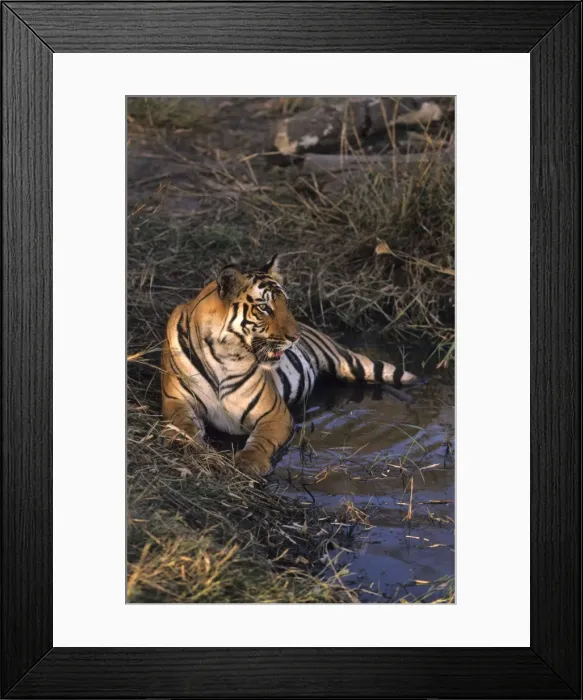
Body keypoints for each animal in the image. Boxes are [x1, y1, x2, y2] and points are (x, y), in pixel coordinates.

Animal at [161, 255, 417, 477]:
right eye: (264, 307)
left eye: (287, 304)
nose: (295, 337)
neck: (223, 355)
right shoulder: (176, 400)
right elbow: (183, 425)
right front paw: (187, 445)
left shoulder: (274, 413)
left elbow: (261, 441)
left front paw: (250, 463)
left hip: (351, 364)